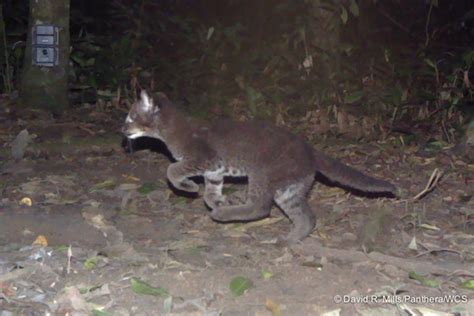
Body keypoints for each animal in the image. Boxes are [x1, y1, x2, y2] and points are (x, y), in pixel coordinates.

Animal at [123, 90, 396, 243]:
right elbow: (210, 194)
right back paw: (289, 240)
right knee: (305, 217)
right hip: (289, 189)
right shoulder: (214, 172)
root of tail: (309, 149)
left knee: (261, 207)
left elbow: (172, 170)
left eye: (131, 116)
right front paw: (220, 201)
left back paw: (224, 216)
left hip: (262, 175)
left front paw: (191, 188)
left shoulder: (204, 159)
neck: (169, 130)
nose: (122, 129)